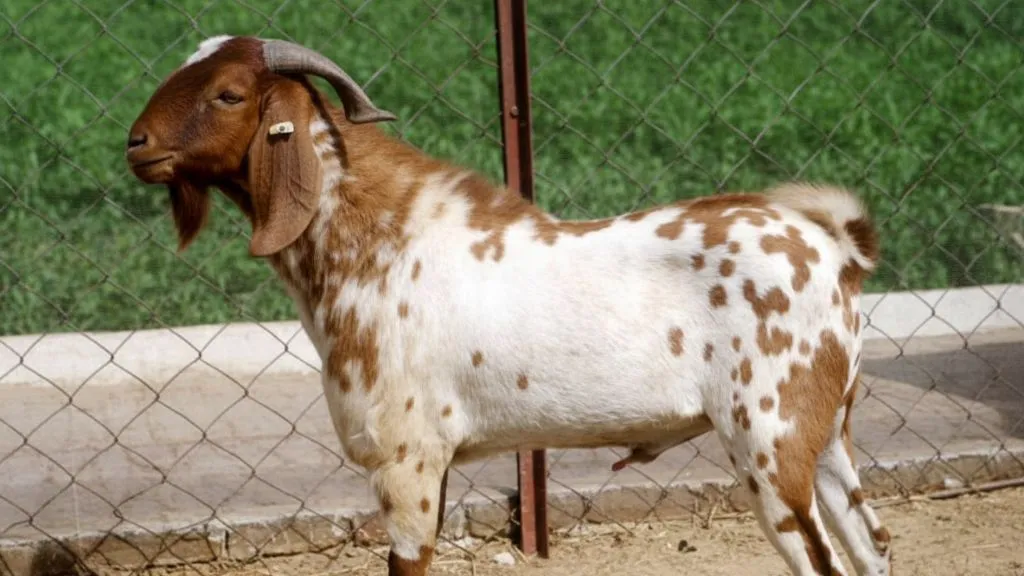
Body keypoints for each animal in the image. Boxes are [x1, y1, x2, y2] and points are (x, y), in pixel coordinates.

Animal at [125, 35, 892, 576]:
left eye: (228, 94)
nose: (137, 143)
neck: (380, 243)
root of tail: (837, 251)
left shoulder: (408, 461)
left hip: (770, 440)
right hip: (827, 435)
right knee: (874, 544)